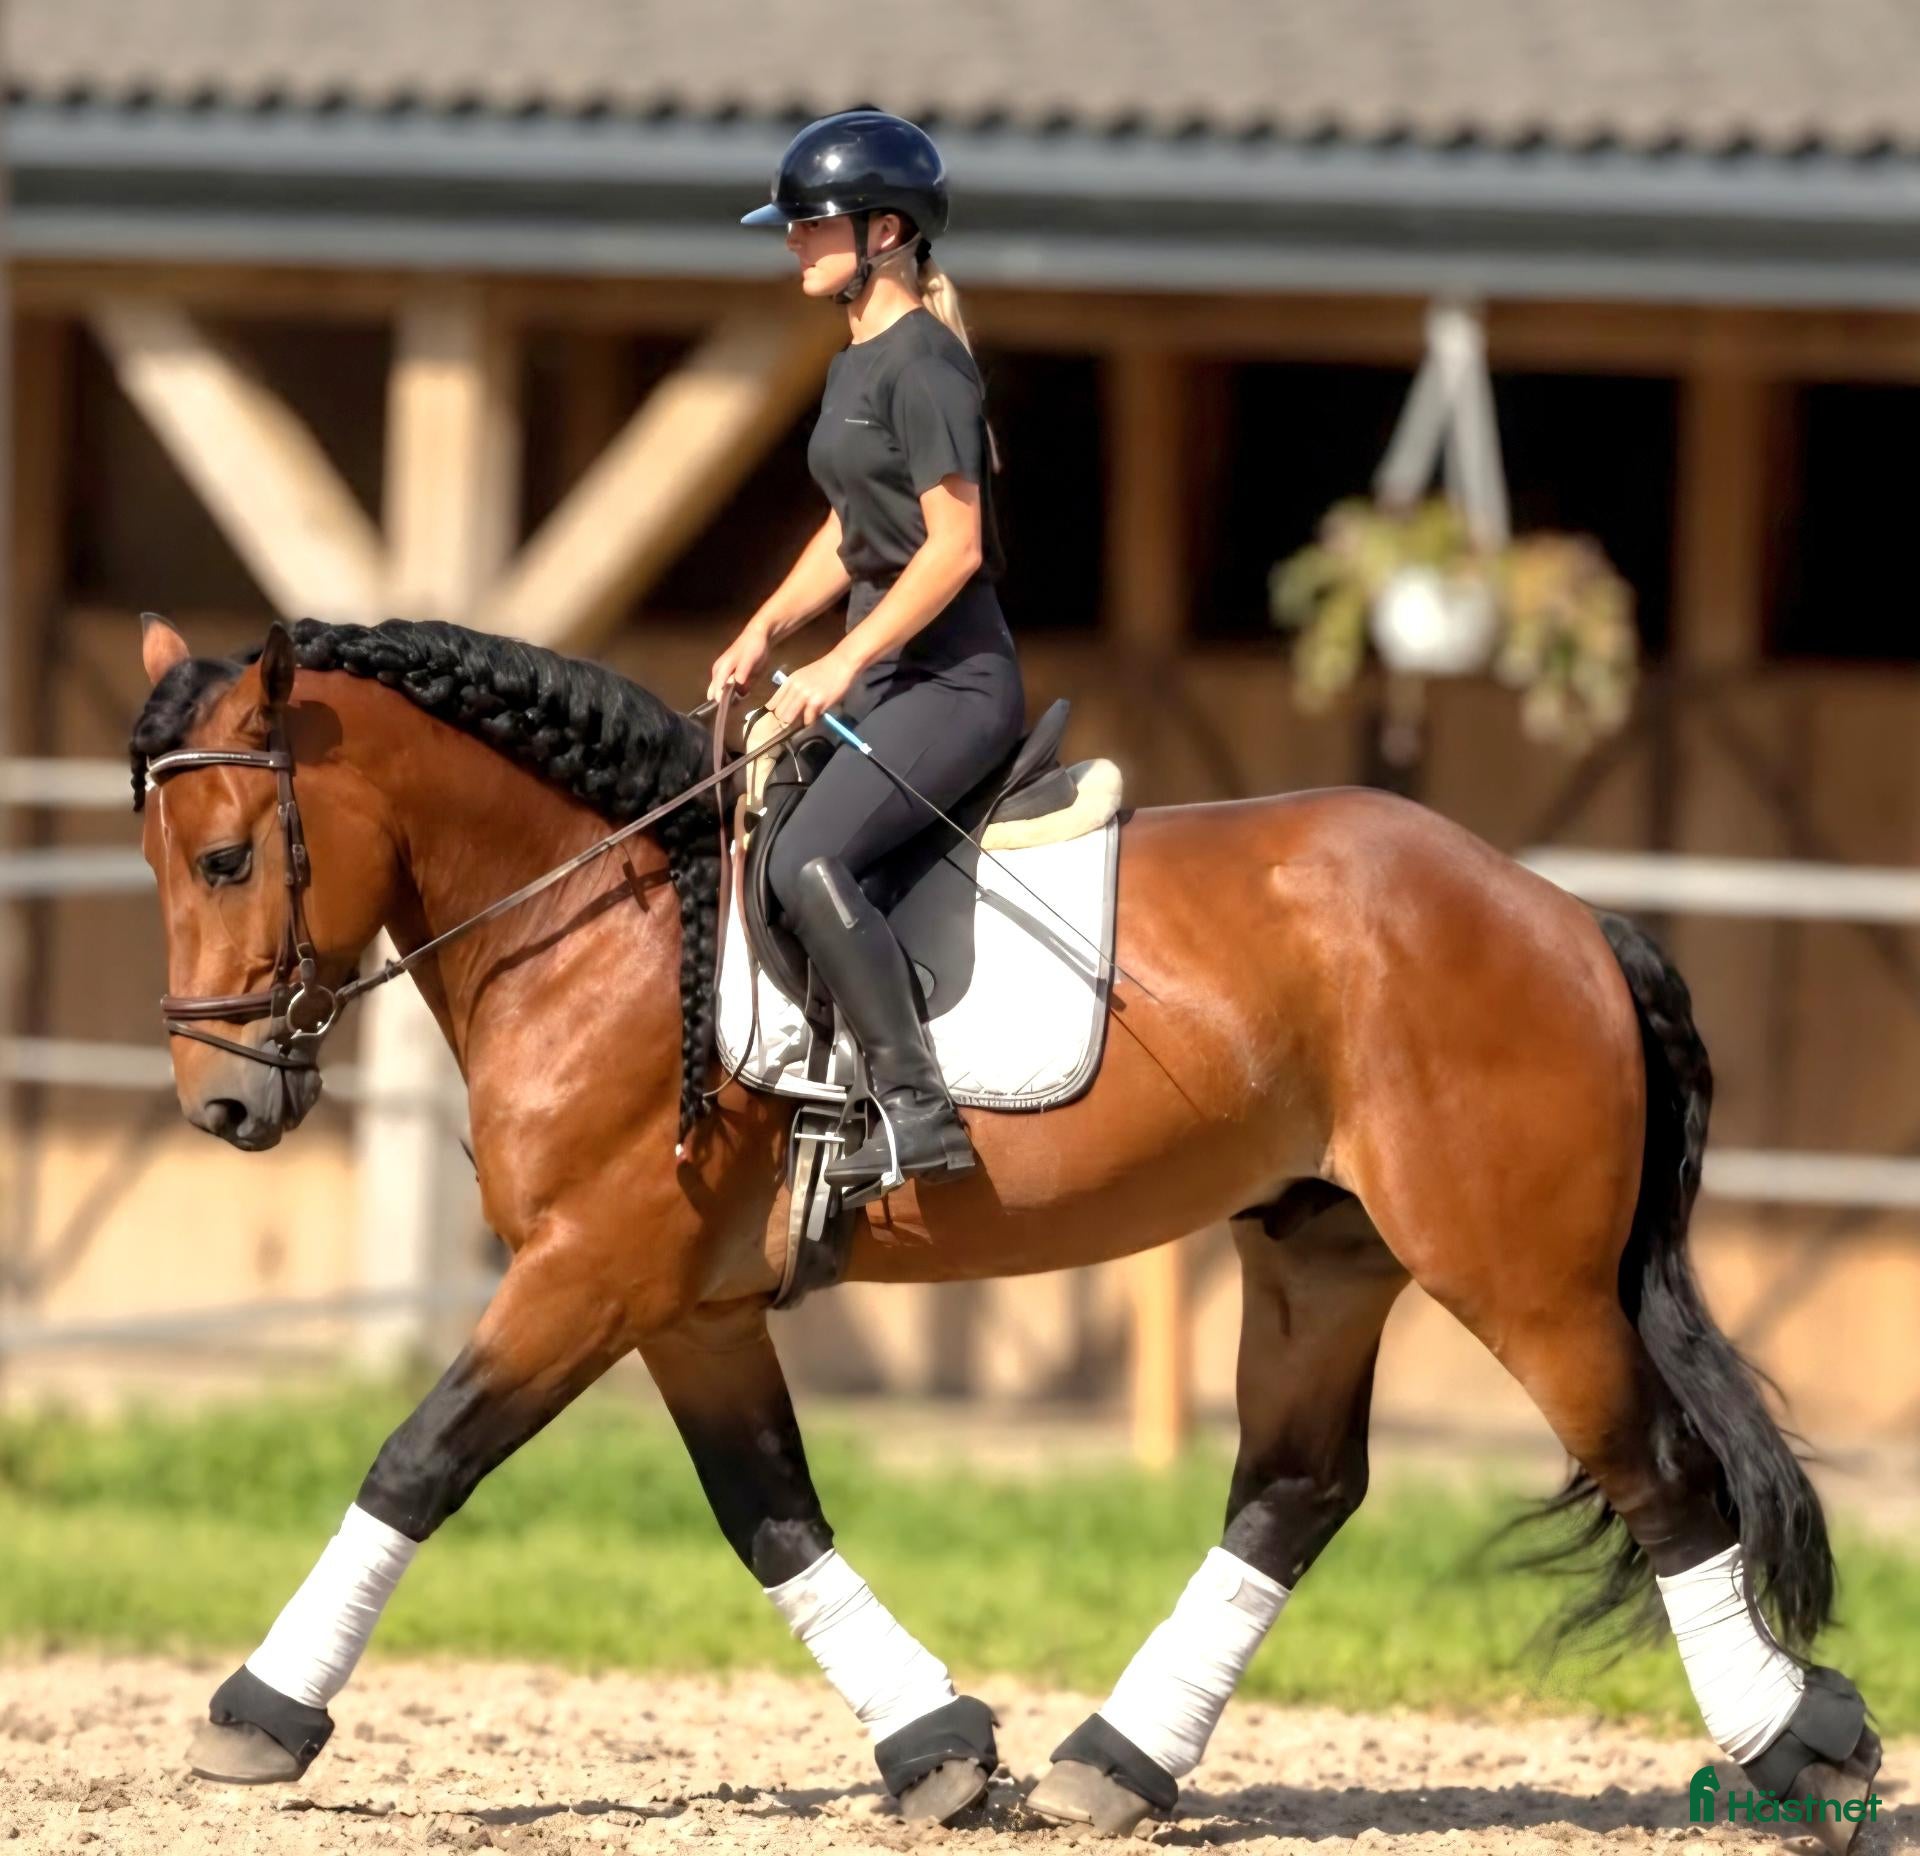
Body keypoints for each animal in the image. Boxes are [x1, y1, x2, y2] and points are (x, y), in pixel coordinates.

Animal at [131, 613, 1880, 1848]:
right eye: (161, 864)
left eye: (226, 856)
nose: (221, 1109)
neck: (610, 924)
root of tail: (1564, 915)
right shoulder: (688, 1307)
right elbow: (772, 1517)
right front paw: (936, 1750)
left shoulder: (589, 1272)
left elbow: (418, 1461)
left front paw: (257, 1714)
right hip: (1321, 1256)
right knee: (1296, 1490)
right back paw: (1117, 1760)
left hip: (1520, 1280)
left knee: (1656, 1475)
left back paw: (1795, 1746)